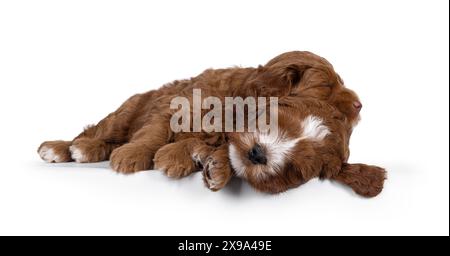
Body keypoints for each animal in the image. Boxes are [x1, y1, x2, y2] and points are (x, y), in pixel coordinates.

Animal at [37, 51, 386, 197]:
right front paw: (134, 154)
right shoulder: (174, 105)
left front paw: (180, 157)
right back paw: (70, 147)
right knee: (102, 132)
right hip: (128, 109)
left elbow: (199, 142)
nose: (360, 105)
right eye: (328, 86)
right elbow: (154, 132)